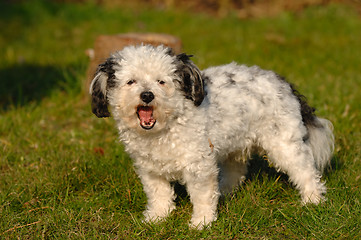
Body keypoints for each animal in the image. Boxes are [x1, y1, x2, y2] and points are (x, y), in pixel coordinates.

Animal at [88, 43, 334, 229]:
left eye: (161, 81)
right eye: (131, 81)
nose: (147, 95)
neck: (165, 128)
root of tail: (283, 82)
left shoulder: (199, 165)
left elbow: (202, 194)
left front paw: (202, 222)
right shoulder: (150, 168)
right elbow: (158, 194)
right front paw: (157, 217)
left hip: (283, 143)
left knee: (305, 170)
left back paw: (312, 200)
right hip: (235, 143)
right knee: (236, 170)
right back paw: (225, 191)